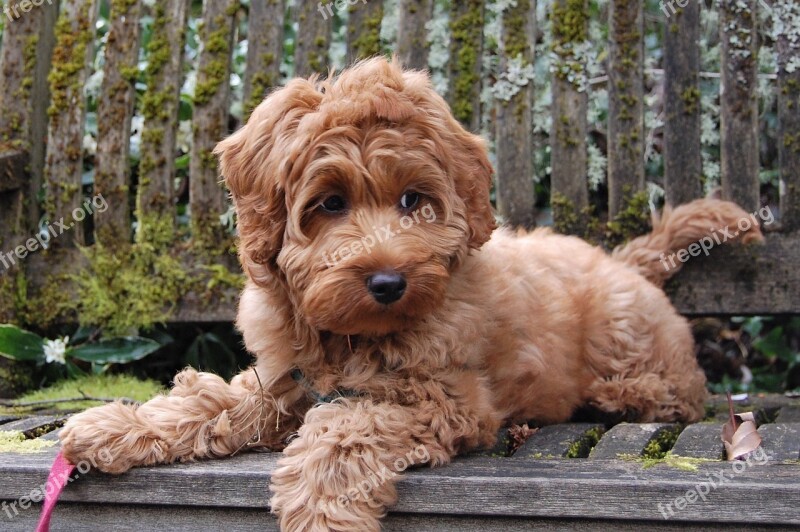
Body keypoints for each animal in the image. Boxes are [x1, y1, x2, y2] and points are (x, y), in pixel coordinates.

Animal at [62, 56, 764, 528]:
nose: (388, 281)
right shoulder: (283, 378)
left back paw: (620, 397)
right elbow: (212, 399)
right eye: (329, 204)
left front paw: (321, 504)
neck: (351, 338)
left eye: (412, 201)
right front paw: (112, 428)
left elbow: (352, 420)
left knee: (678, 391)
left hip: (627, 339)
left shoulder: (445, 397)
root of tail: (625, 261)